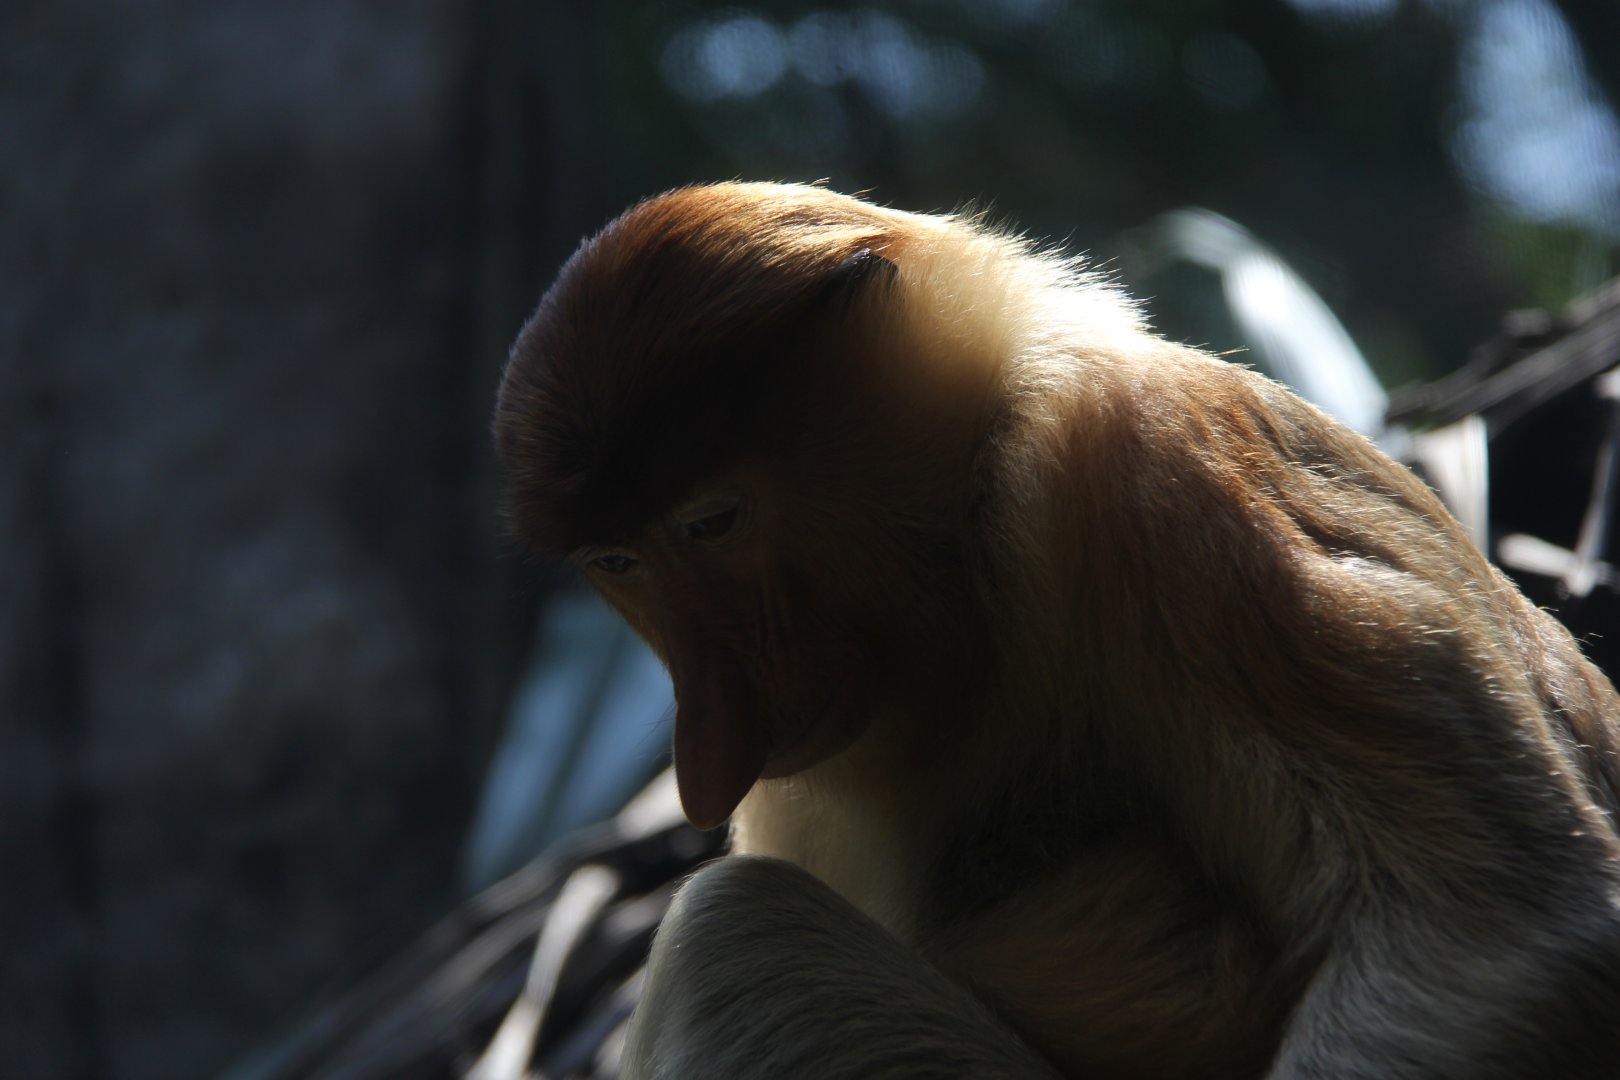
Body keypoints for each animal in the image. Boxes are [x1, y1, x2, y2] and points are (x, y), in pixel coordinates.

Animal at [493, 183, 1620, 1078]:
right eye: (616, 563)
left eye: (712, 522)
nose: (711, 740)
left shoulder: (1142, 465)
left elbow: (1490, 936)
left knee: (733, 933)